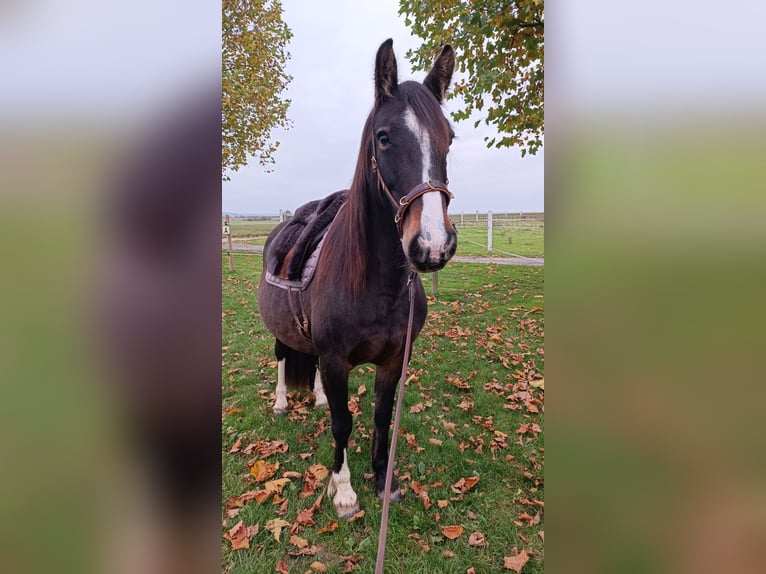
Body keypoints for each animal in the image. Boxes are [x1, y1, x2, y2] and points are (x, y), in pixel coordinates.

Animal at [260, 38, 460, 520]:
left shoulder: (394, 359)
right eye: (384, 138)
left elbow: (381, 416)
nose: (432, 245)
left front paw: (383, 478)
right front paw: (345, 490)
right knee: (282, 357)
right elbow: (342, 422)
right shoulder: (336, 361)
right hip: (281, 332)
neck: (377, 285)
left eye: (449, 137)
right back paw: (281, 401)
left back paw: (312, 396)